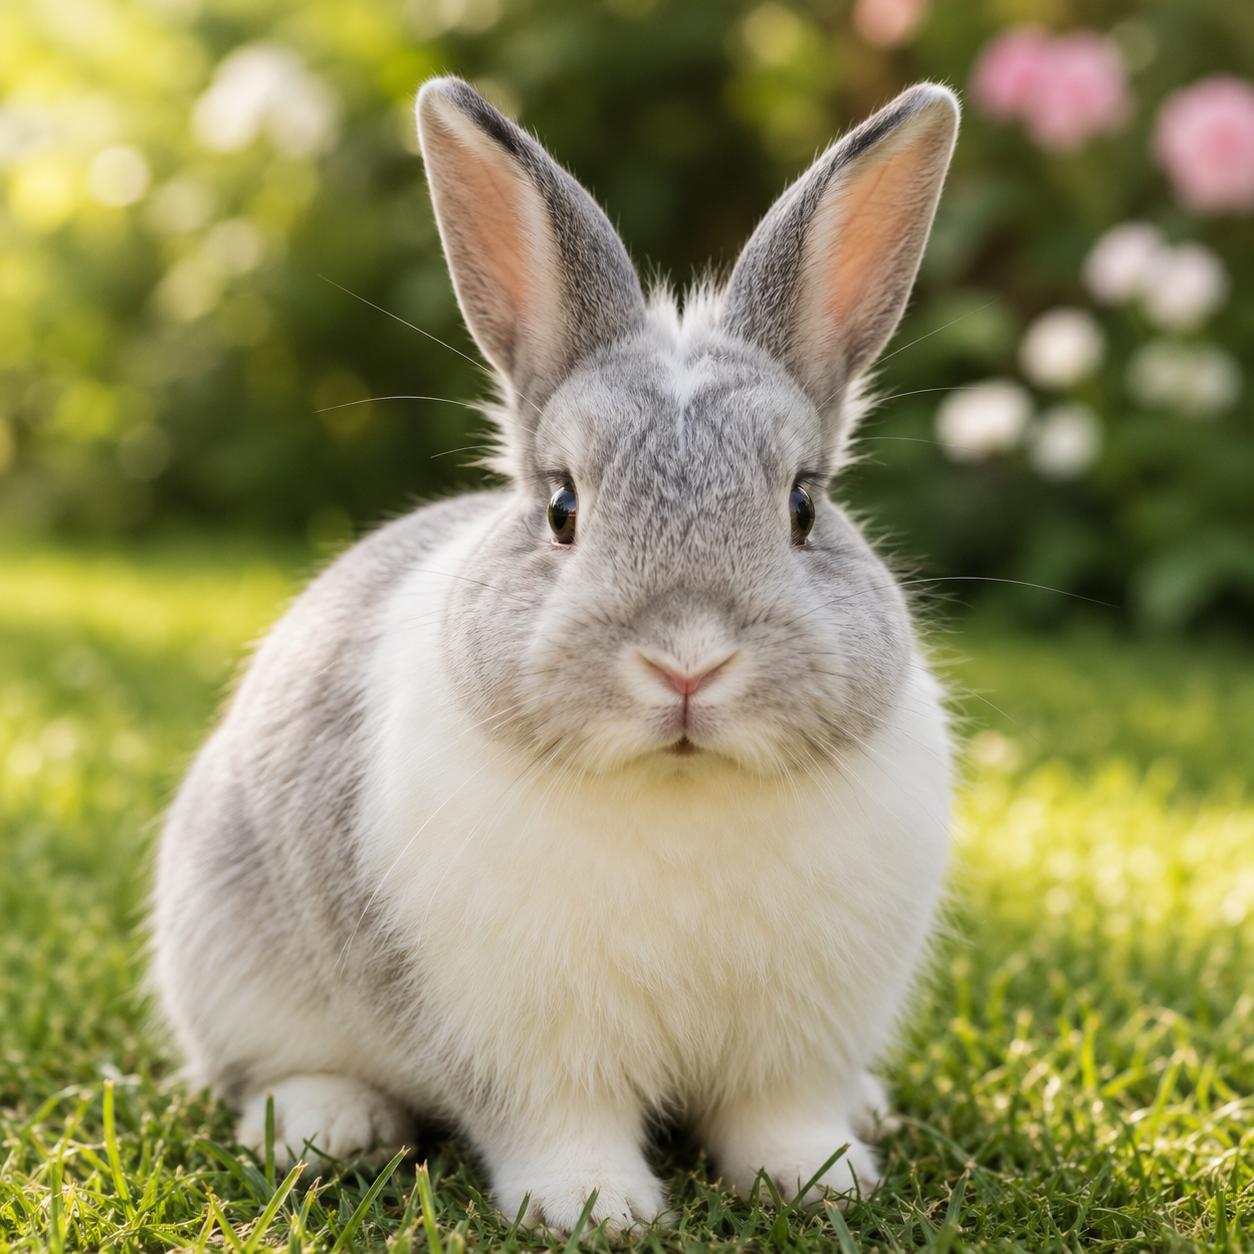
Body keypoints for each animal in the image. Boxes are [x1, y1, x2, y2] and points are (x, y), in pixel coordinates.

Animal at [152, 76, 959, 1235]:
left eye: (804, 506)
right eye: (563, 509)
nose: (686, 664)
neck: (680, 792)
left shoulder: (797, 1042)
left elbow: (779, 1114)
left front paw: (821, 1180)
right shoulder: (524, 1046)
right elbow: (557, 1123)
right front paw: (595, 1211)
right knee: (267, 1071)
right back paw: (327, 1127)